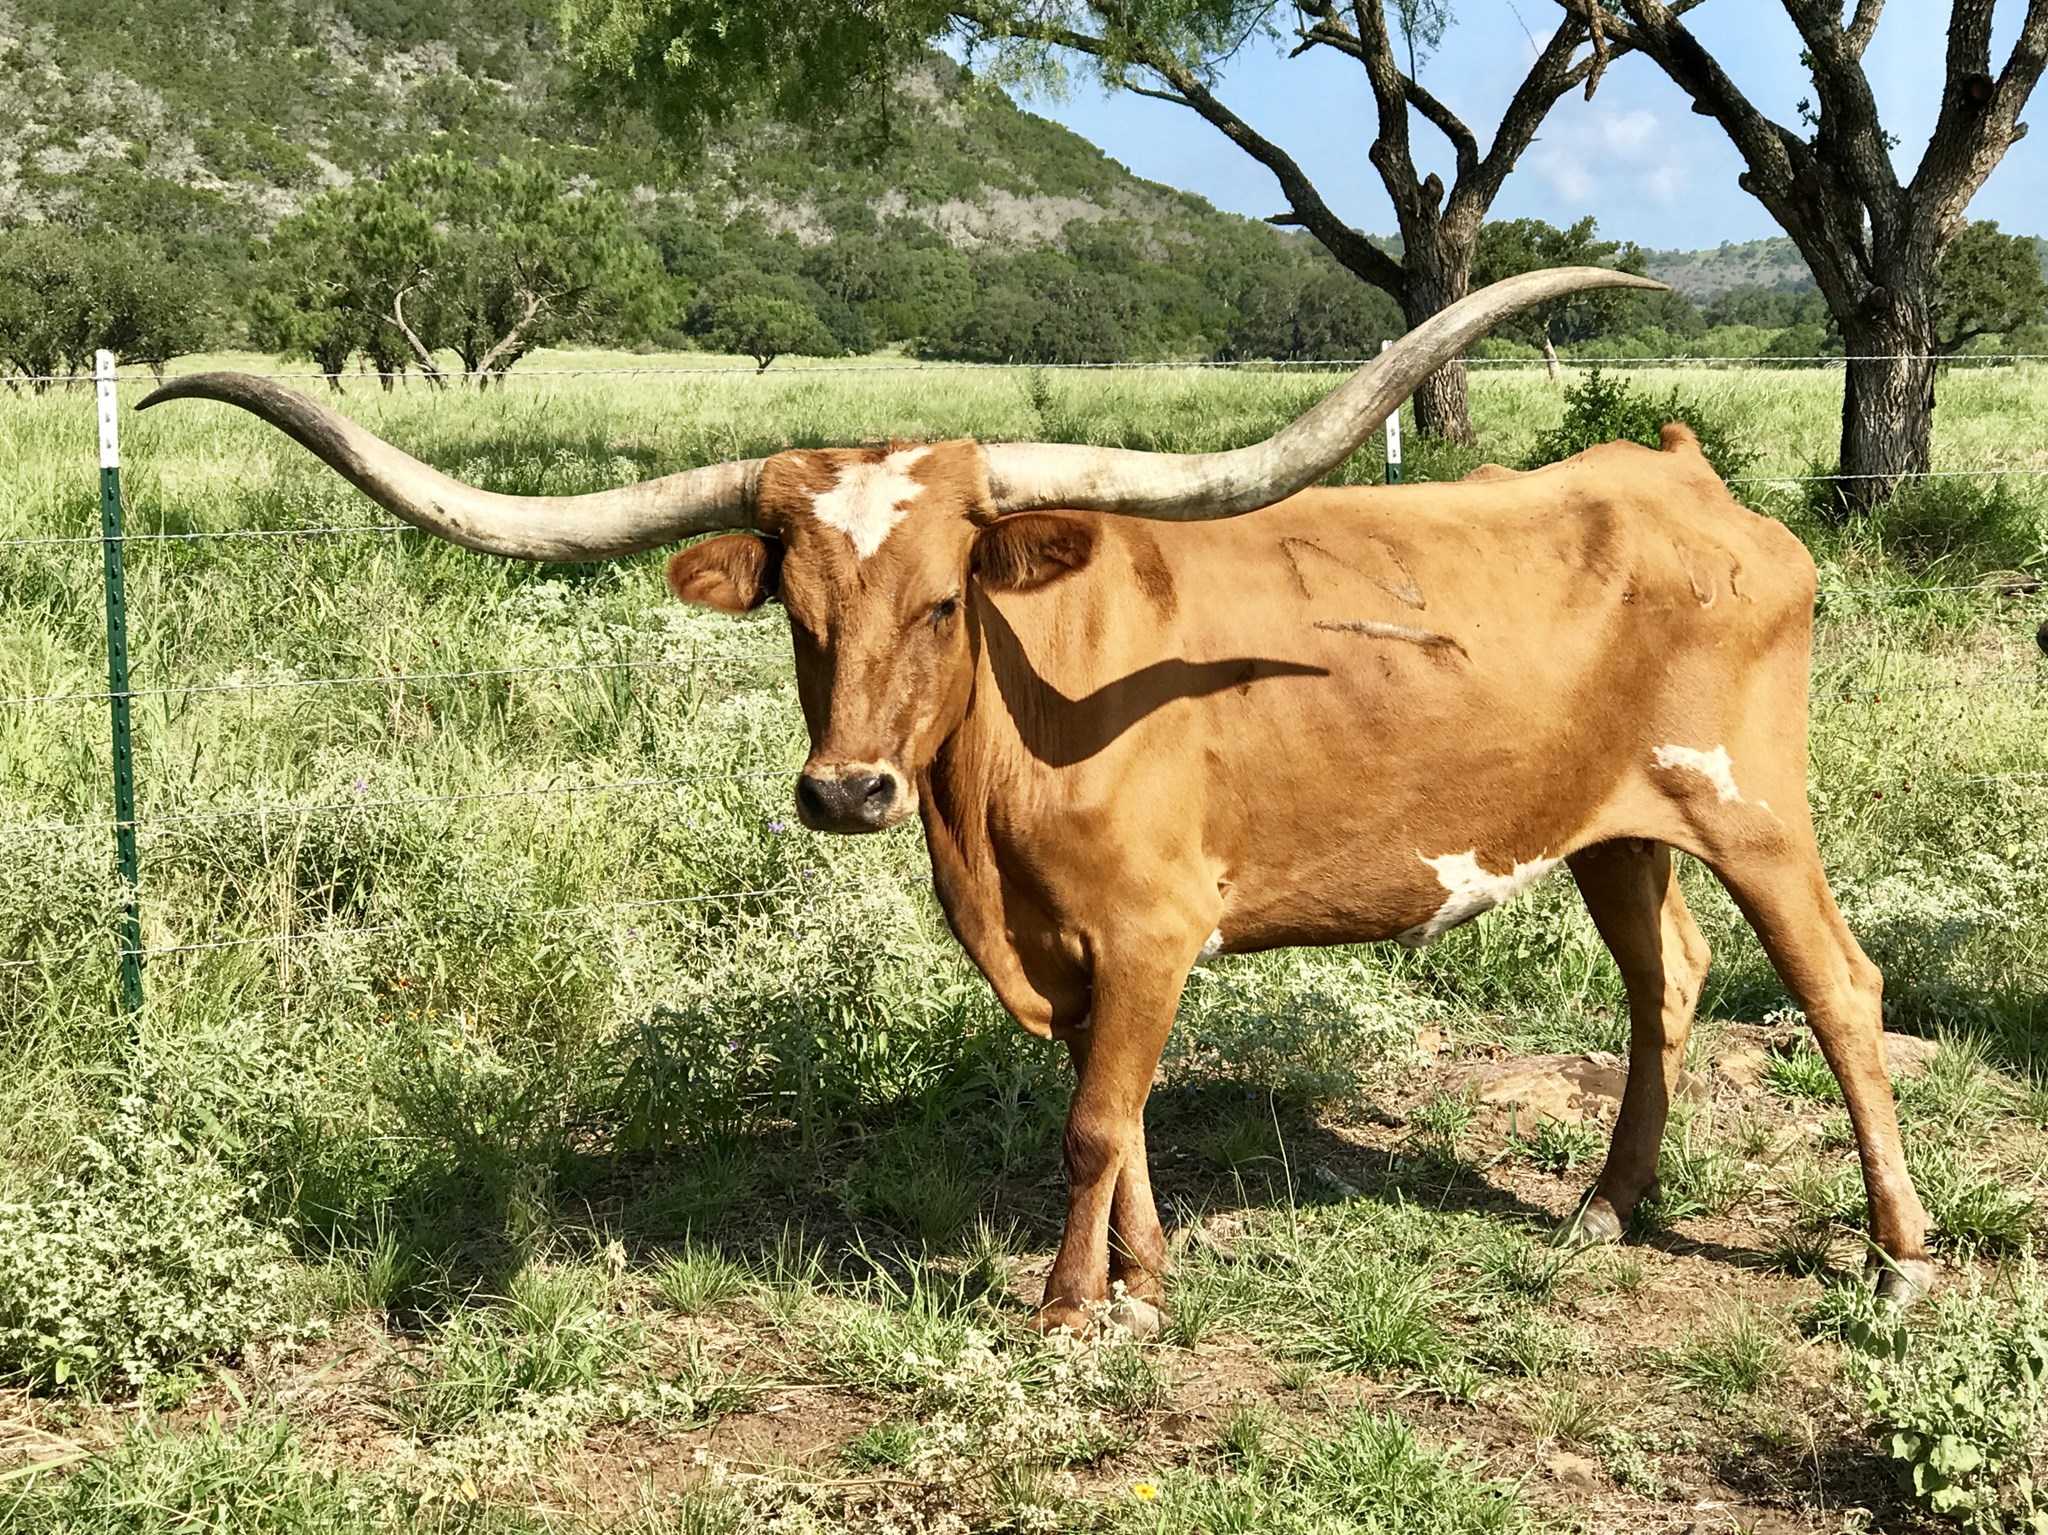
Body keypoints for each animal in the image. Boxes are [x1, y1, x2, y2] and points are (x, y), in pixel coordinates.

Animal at [140, 269, 1934, 1331]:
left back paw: (1896, 1248)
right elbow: (1113, 1106)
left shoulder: (1148, 928)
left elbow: (1089, 1119)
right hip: (1618, 828)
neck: (988, 799)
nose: (846, 788)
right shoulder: (1075, 950)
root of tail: (1681, 469)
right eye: (800, 612)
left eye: (946, 601)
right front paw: (1141, 1275)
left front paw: (1071, 1306)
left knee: (1842, 991)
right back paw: (1606, 1207)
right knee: (1666, 984)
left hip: (1754, 811)